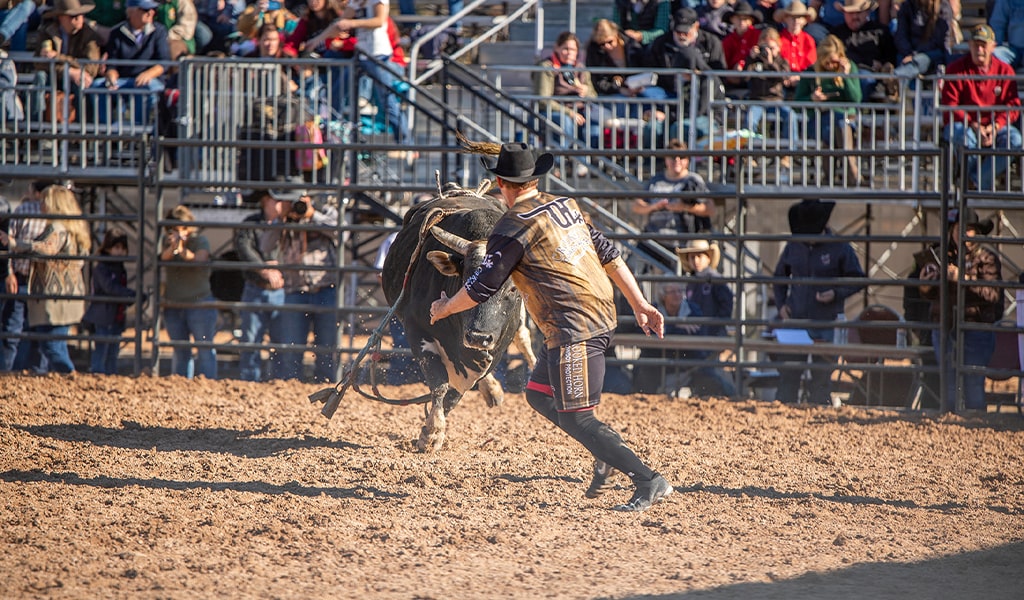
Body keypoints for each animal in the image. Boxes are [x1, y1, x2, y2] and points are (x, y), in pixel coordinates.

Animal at [381, 183, 533, 452]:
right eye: (466, 281)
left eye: (513, 289)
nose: (478, 336)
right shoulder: (416, 329)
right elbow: (439, 382)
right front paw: (431, 433)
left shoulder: (498, 345)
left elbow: (457, 391)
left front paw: (432, 430)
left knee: (522, 339)